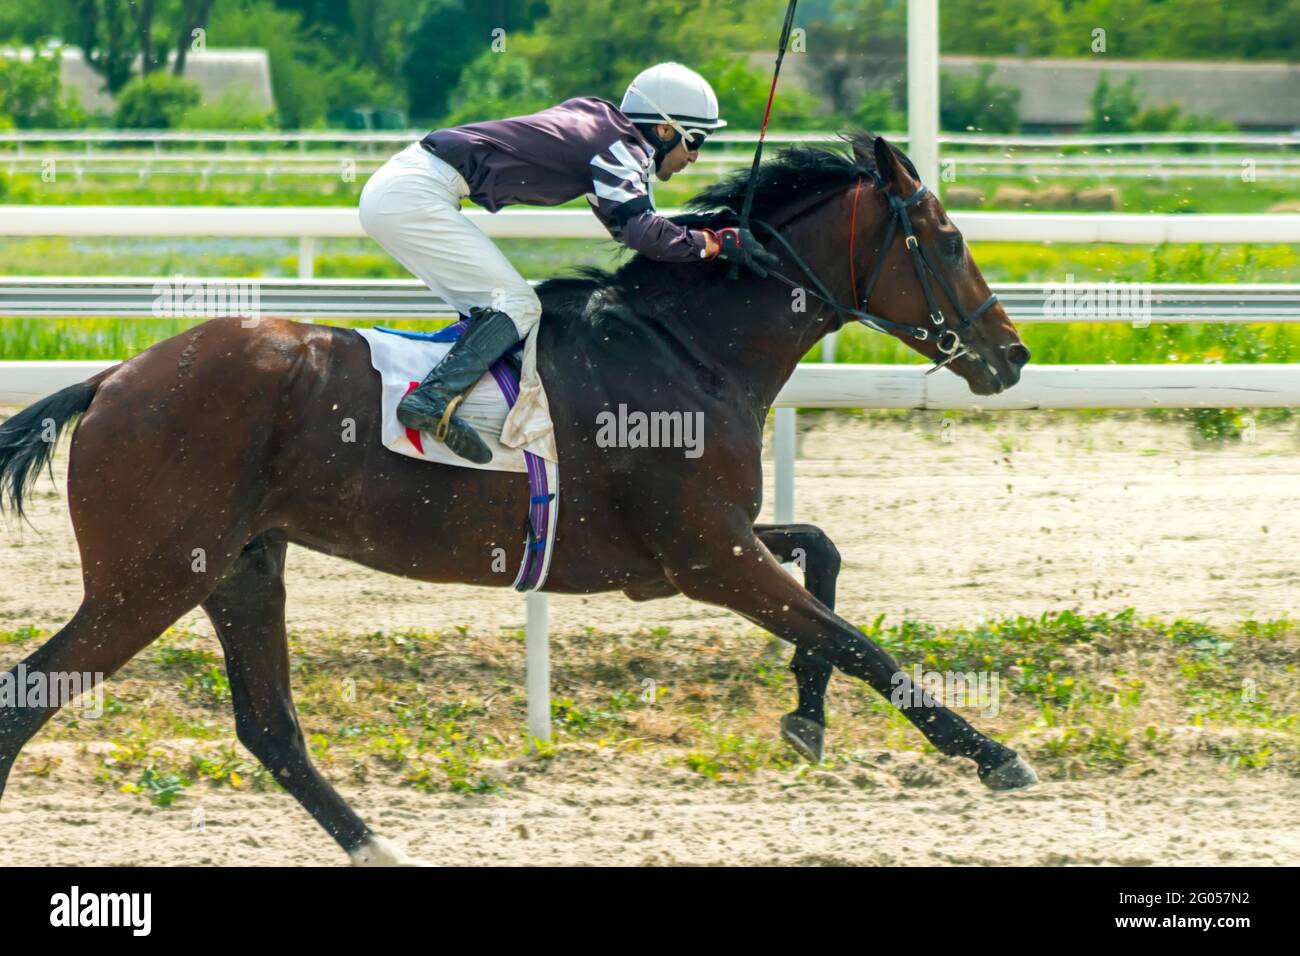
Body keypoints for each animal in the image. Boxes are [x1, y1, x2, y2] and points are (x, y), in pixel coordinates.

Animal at [0, 132, 1034, 868]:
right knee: (30, 694)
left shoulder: (688, 552)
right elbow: (859, 642)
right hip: (151, 576)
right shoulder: (708, 554)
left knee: (270, 728)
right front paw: (992, 756)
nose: (1012, 355)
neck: (686, 348)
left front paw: (806, 717)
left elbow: (823, 552)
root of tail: (113, 379)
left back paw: (385, 848)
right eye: (950, 240)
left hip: (239, 566)